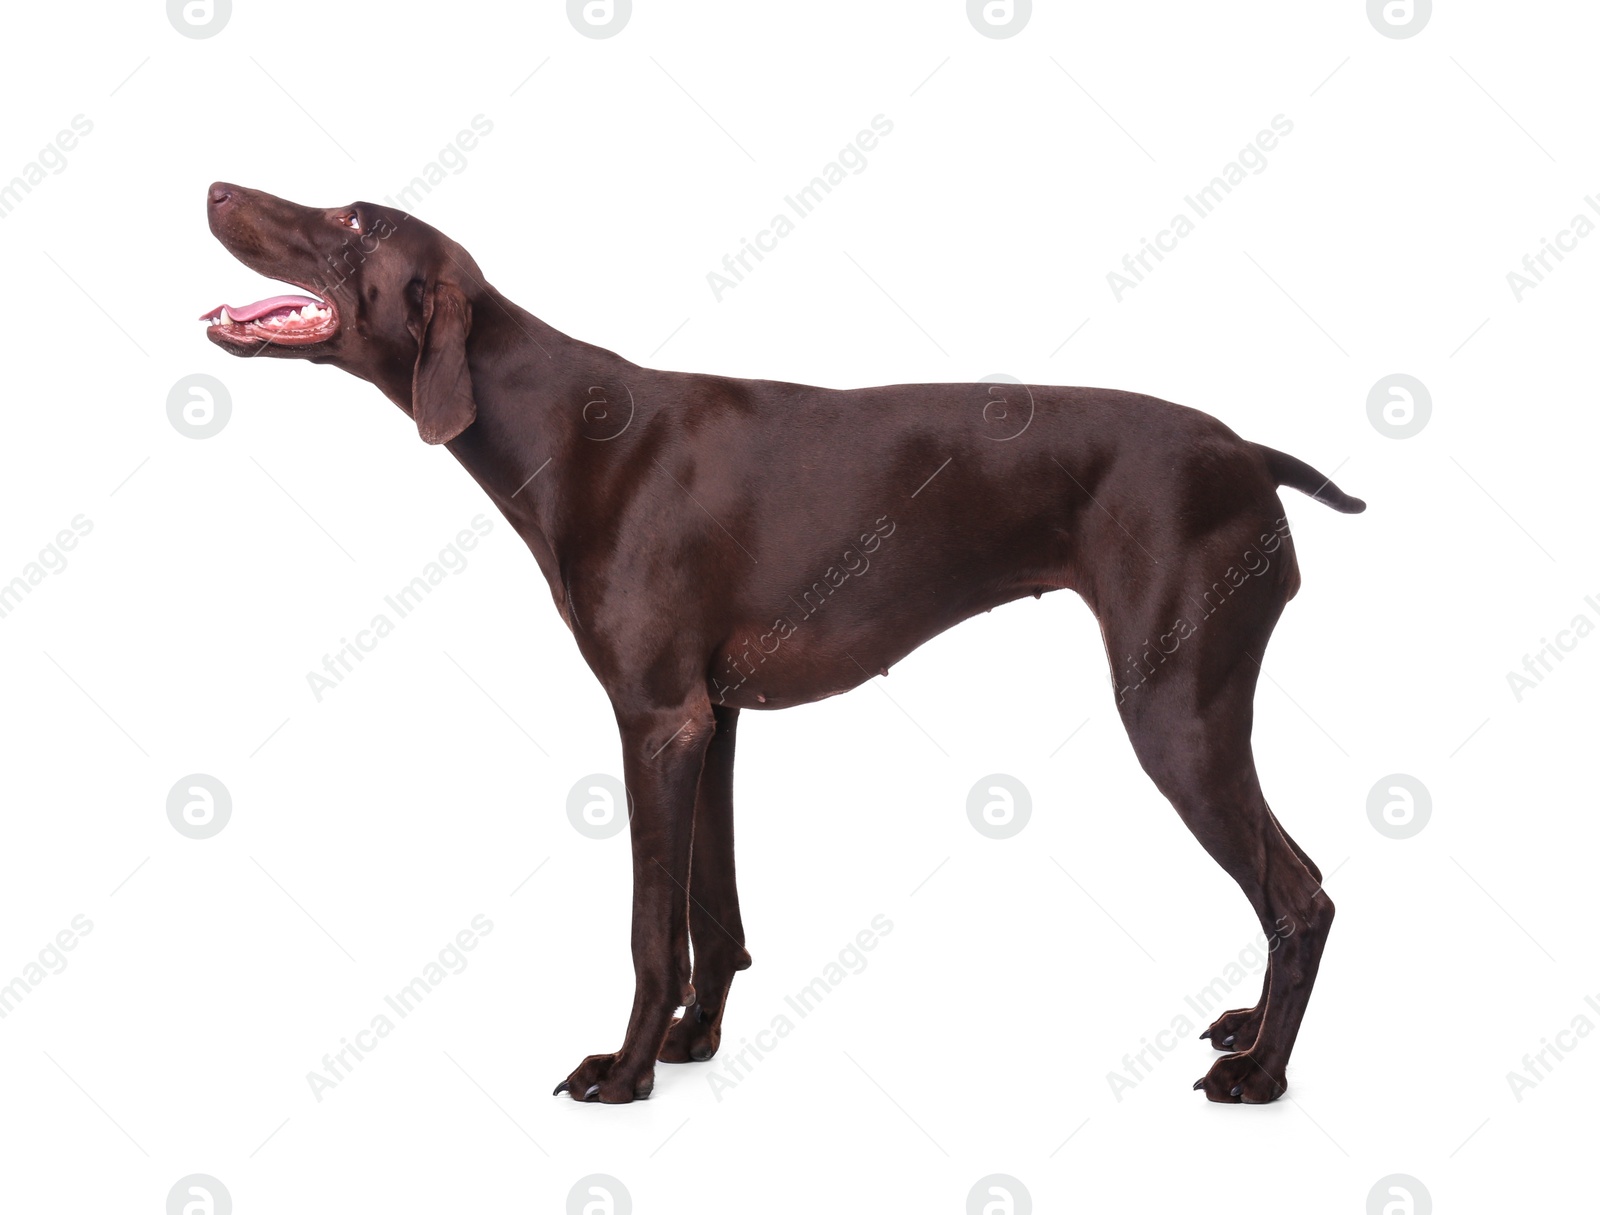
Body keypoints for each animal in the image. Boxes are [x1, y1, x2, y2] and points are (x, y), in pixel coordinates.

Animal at [203, 185, 1363, 1107]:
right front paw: (694, 1041)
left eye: (354, 219)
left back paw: (1261, 1072)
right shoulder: (709, 718)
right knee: (1290, 883)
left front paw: (626, 1071)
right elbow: (711, 918)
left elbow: (649, 930)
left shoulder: (653, 720)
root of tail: (1248, 453)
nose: (215, 188)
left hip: (1175, 709)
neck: (562, 424)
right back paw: (1249, 1027)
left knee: (1300, 894)